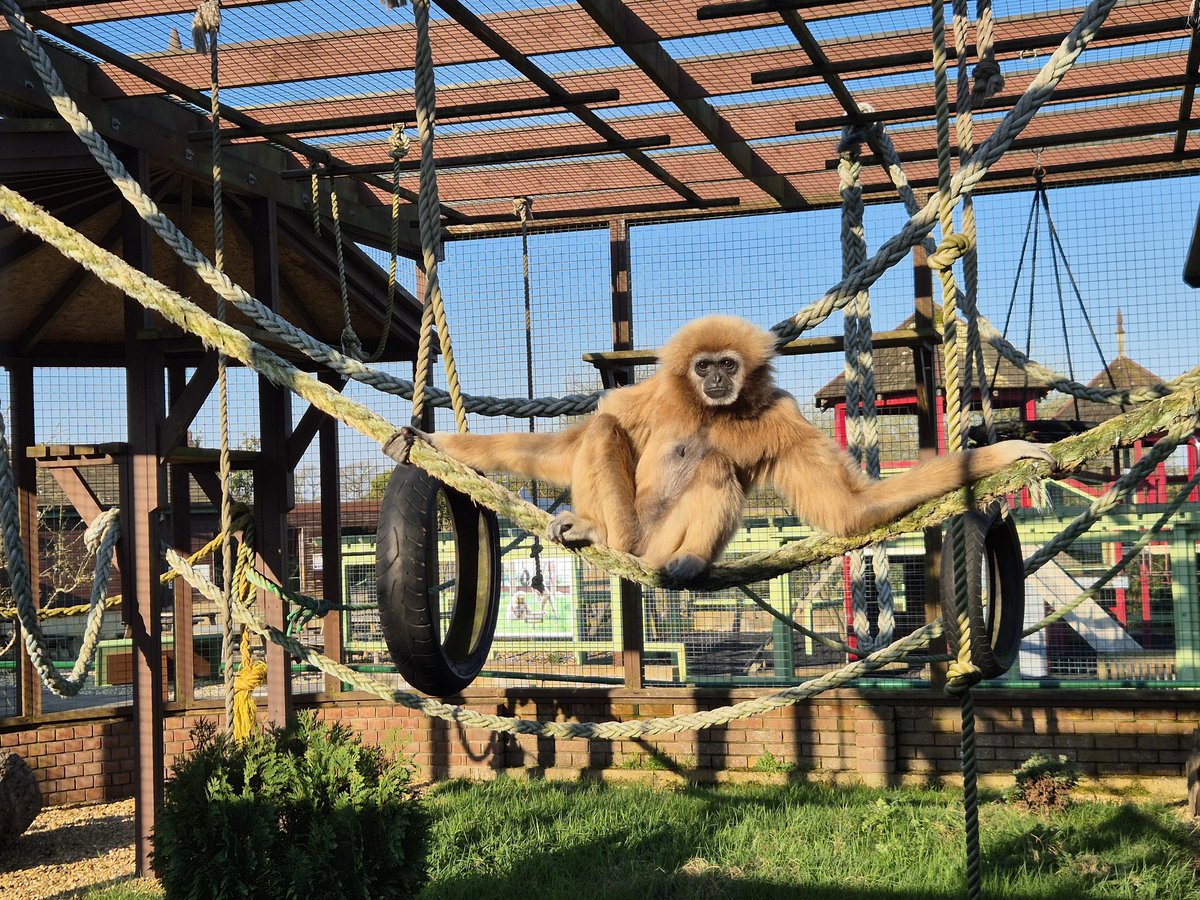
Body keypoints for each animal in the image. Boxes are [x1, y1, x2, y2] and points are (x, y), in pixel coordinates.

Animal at [398, 315, 1054, 583]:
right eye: (704, 366)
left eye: (728, 366)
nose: (715, 378)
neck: (713, 410)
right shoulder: (655, 395)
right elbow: (569, 444)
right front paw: (431, 440)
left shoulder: (783, 414)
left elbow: (850, 508)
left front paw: (1005, 454)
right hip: (632, 522)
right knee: (604, 432)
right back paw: (596, 530)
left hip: (659, 545)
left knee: (714, 469)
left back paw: (688, 562)